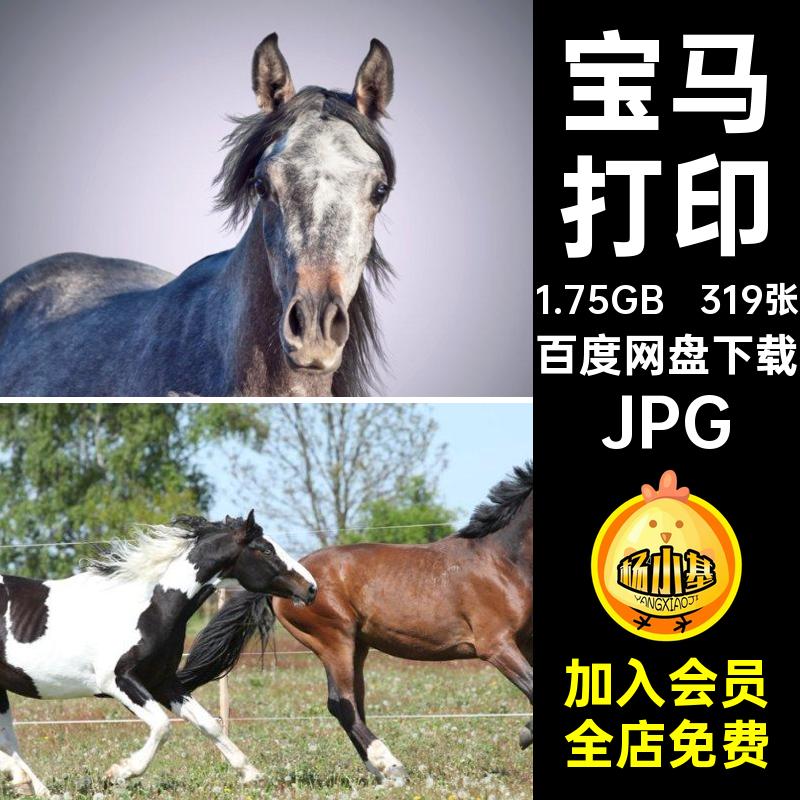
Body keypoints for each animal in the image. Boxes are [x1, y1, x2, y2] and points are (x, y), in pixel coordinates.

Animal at [0, 510, 316, 797]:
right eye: (266, 549)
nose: (311, 588)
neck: (150, 606)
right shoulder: (118, 681)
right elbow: (163, 726)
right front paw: (118, 773)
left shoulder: (163, 682)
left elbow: (209, 724)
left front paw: (251, 774)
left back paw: (29, 783)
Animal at [178, 463, 533, 788]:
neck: (502, 563)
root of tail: (296, 582)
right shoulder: (497, 645)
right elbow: (532, 686)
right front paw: (526, 734)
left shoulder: (524, 642)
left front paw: (526, 732)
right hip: (335, 641)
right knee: (341, 703)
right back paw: (392, 767)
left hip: (357, 648)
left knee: (354, 704)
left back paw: (380, 771)